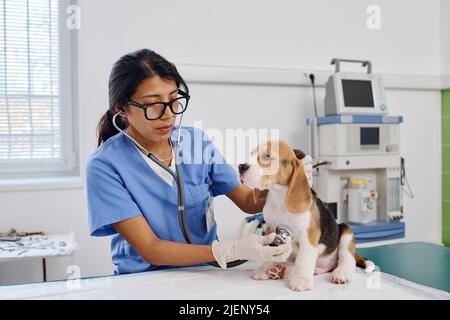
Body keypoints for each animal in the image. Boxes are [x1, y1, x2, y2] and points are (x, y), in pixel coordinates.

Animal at [241, 141, 374, 292]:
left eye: (267, 156)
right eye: (251, 154)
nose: (240, 167)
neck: (279, 197)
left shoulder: (308, 235)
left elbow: (303, 259)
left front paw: (301, 280)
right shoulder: (271, 230)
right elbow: (270, 251)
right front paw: (264, 268)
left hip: (346, 232)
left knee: (347, 258)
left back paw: (341, 273)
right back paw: (280, 270)